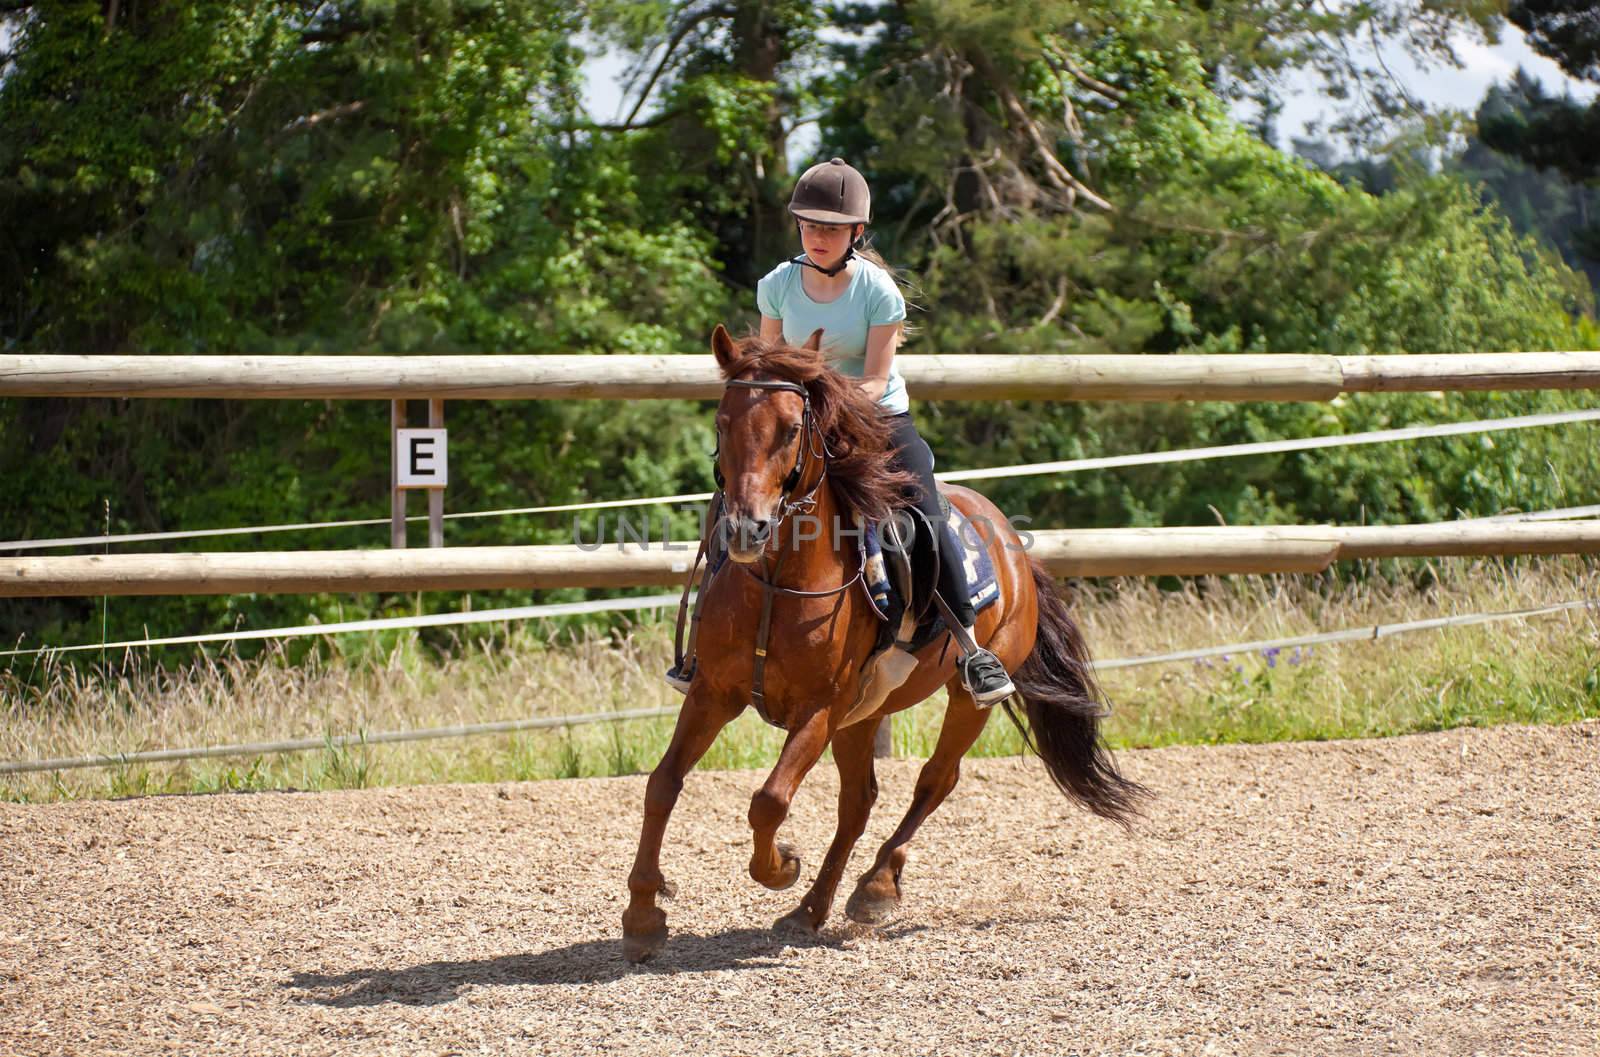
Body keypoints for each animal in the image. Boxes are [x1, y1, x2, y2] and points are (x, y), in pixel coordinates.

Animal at [617, 326, 1145, 959]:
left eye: (791, 428)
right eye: (722, 422)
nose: (748, 529)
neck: (779, 583)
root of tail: (1012, 542)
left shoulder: (820, 709)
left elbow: (769, 800)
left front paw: (780, 865)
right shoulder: (714, 694)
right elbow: (662, 785)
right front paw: (643, 914)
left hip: (960, 701)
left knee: (935, 779)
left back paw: (875, 886)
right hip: (862, 717)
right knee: (858, 802)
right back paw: (810, 910)